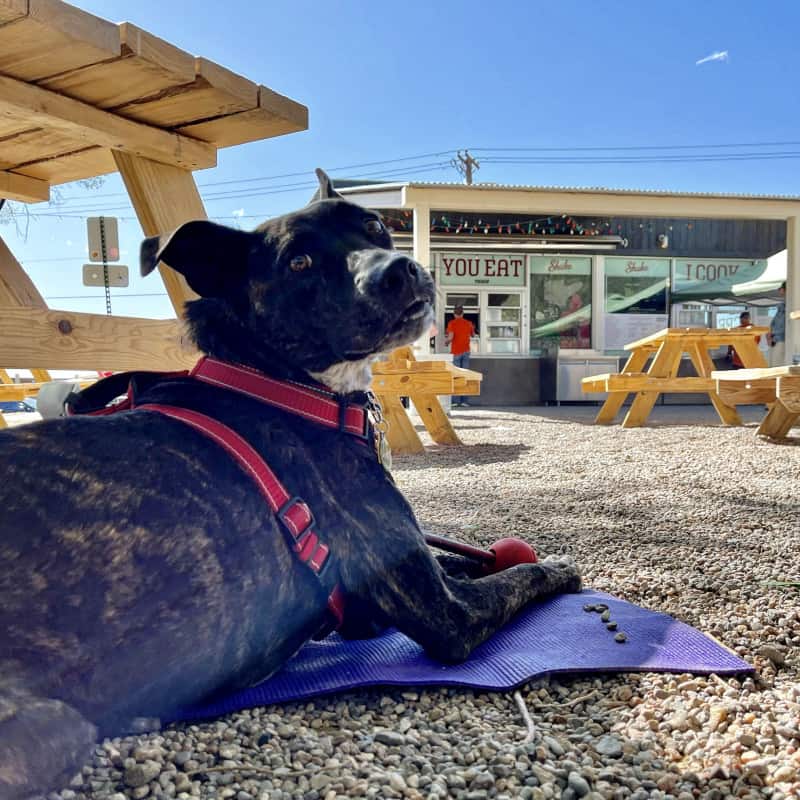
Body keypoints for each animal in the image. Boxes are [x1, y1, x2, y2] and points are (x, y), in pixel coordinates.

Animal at [0, 172, 580, 796]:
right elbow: (521, 576)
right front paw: (559, 568)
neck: (284, 384)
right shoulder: (446, 615)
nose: (399, 269)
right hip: (46, 730)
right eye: (299, 262)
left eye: (373, 226)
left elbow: (465, 560)